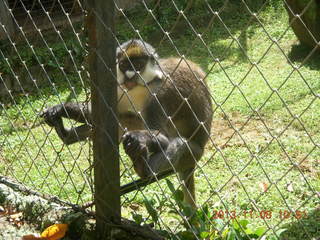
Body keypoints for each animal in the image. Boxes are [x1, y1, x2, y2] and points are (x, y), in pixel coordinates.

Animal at [42, 39, 212, 206]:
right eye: (124, 65)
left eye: (138, 66)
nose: (130, 75)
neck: (141, 88)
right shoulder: (120, 89)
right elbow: (97, 115)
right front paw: (61, 109)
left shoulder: (158, 95)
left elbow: (163, 138)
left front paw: (138, 139)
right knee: (120, 119)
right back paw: (65, 135)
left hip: (194, 154)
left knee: (180, 145)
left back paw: (144, 169)